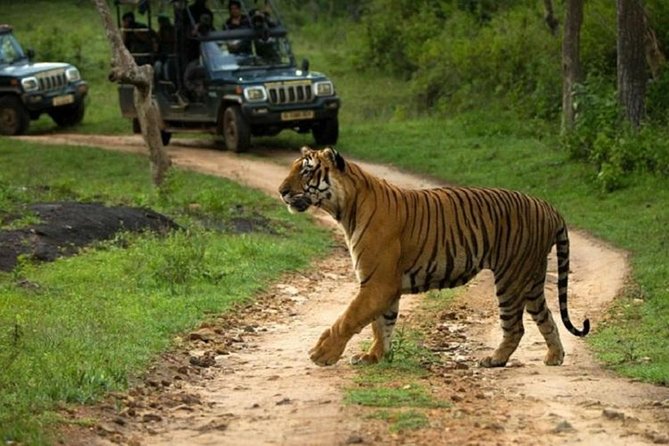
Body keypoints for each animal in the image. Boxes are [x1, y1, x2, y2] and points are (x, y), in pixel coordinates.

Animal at [278, 146, 590, 367]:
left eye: (306, 172)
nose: (281, 192)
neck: (346, 208)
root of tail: (548, 206)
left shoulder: (378, 283)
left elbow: (349, 318)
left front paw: (323, 354)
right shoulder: (382, 284)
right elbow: (381, 324)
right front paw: (374, 357)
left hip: (511, 277)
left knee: (515, 326)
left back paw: (495, 360)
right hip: (531, 277)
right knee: (546, 316)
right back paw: (555, 356)